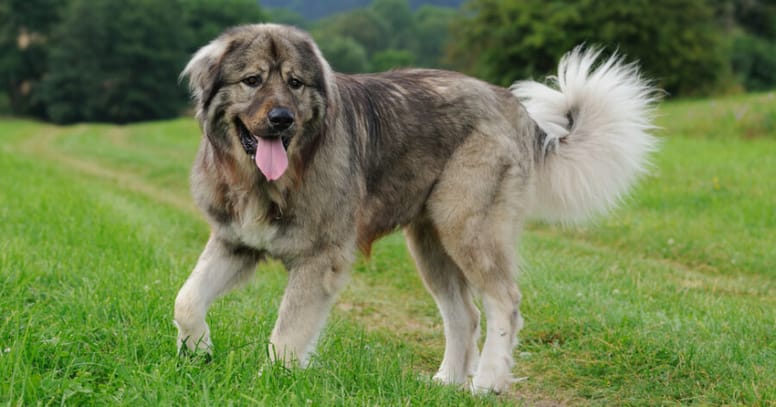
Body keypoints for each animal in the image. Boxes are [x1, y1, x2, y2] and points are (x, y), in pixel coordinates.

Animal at [177, 23, 660, 394]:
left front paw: (271, 382)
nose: (282, 119)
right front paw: (197, 350)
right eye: (252, 80)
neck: (265, 180)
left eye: (295, 83)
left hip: (467, 228)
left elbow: (286, 334)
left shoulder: (318, 260)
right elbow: (187, 299)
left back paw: (487, 382)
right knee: (463, 314)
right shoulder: (235, 243)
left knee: (503, 300)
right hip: (430, 242)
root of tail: (513, 107)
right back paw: (446, 382)